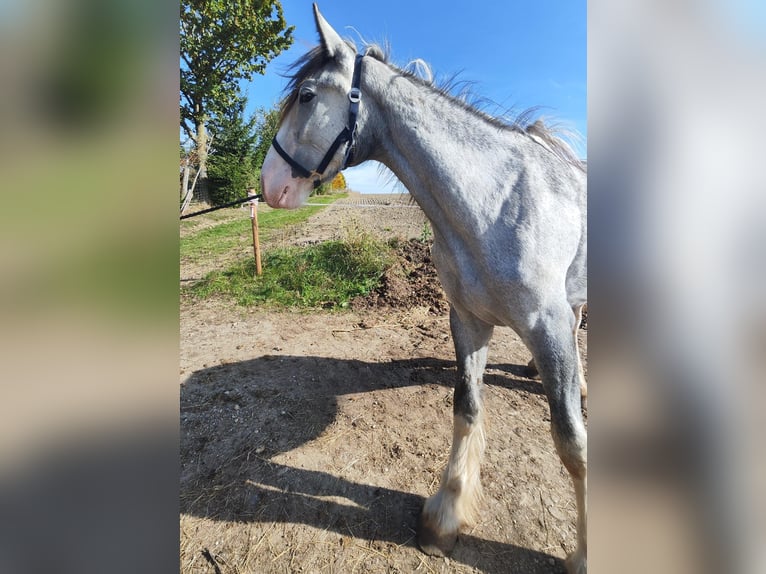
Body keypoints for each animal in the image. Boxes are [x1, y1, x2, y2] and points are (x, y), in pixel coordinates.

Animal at [260, 5, 587, 572]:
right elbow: (467, 409)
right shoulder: (468, 321)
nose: (268, 184)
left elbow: (572, 444)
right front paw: (446, 516)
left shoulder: (549, 329)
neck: (496, 204)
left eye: (305, 95)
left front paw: (586, 553)